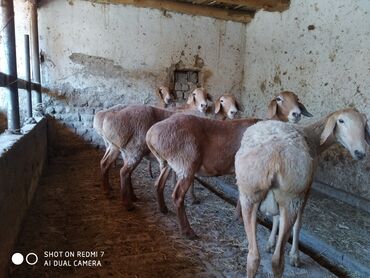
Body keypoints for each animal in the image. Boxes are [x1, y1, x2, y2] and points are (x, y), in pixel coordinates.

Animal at [146, 90, 310, 238]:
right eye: (279, 99)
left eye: (297, 99)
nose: (296, 114)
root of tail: (151, 134)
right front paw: (241, 217)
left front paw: (237, 216)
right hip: (186, 164)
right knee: (177, 196)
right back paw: (188, 231)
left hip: (168, 163)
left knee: (158, 184)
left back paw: (163, 209)